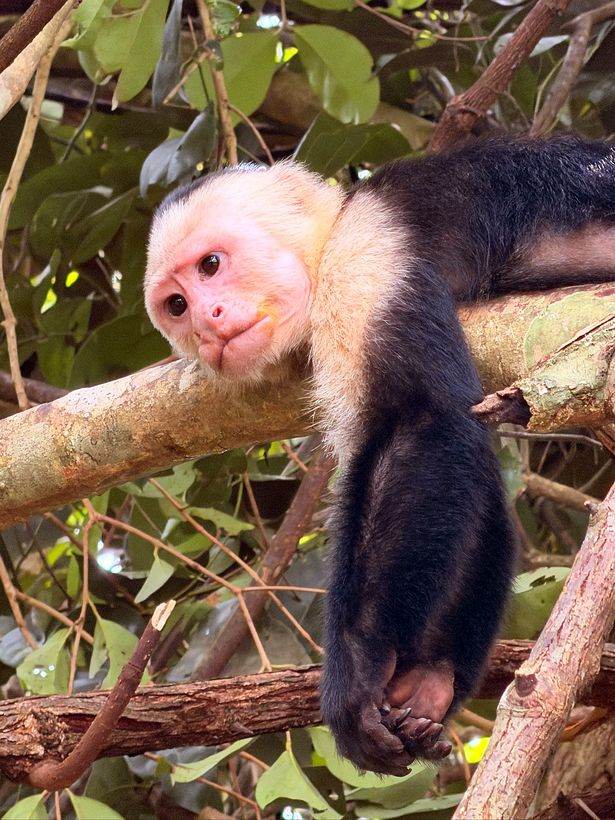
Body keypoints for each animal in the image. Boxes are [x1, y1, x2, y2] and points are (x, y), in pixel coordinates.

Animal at [144, 136, 615, 776]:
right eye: (176, 305)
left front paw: (362, 665)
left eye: (211, 265)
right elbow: (471, 487)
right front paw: (431, 677)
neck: (333, 233)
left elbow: (421, 420)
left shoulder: (366, 248)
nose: (207, 323)